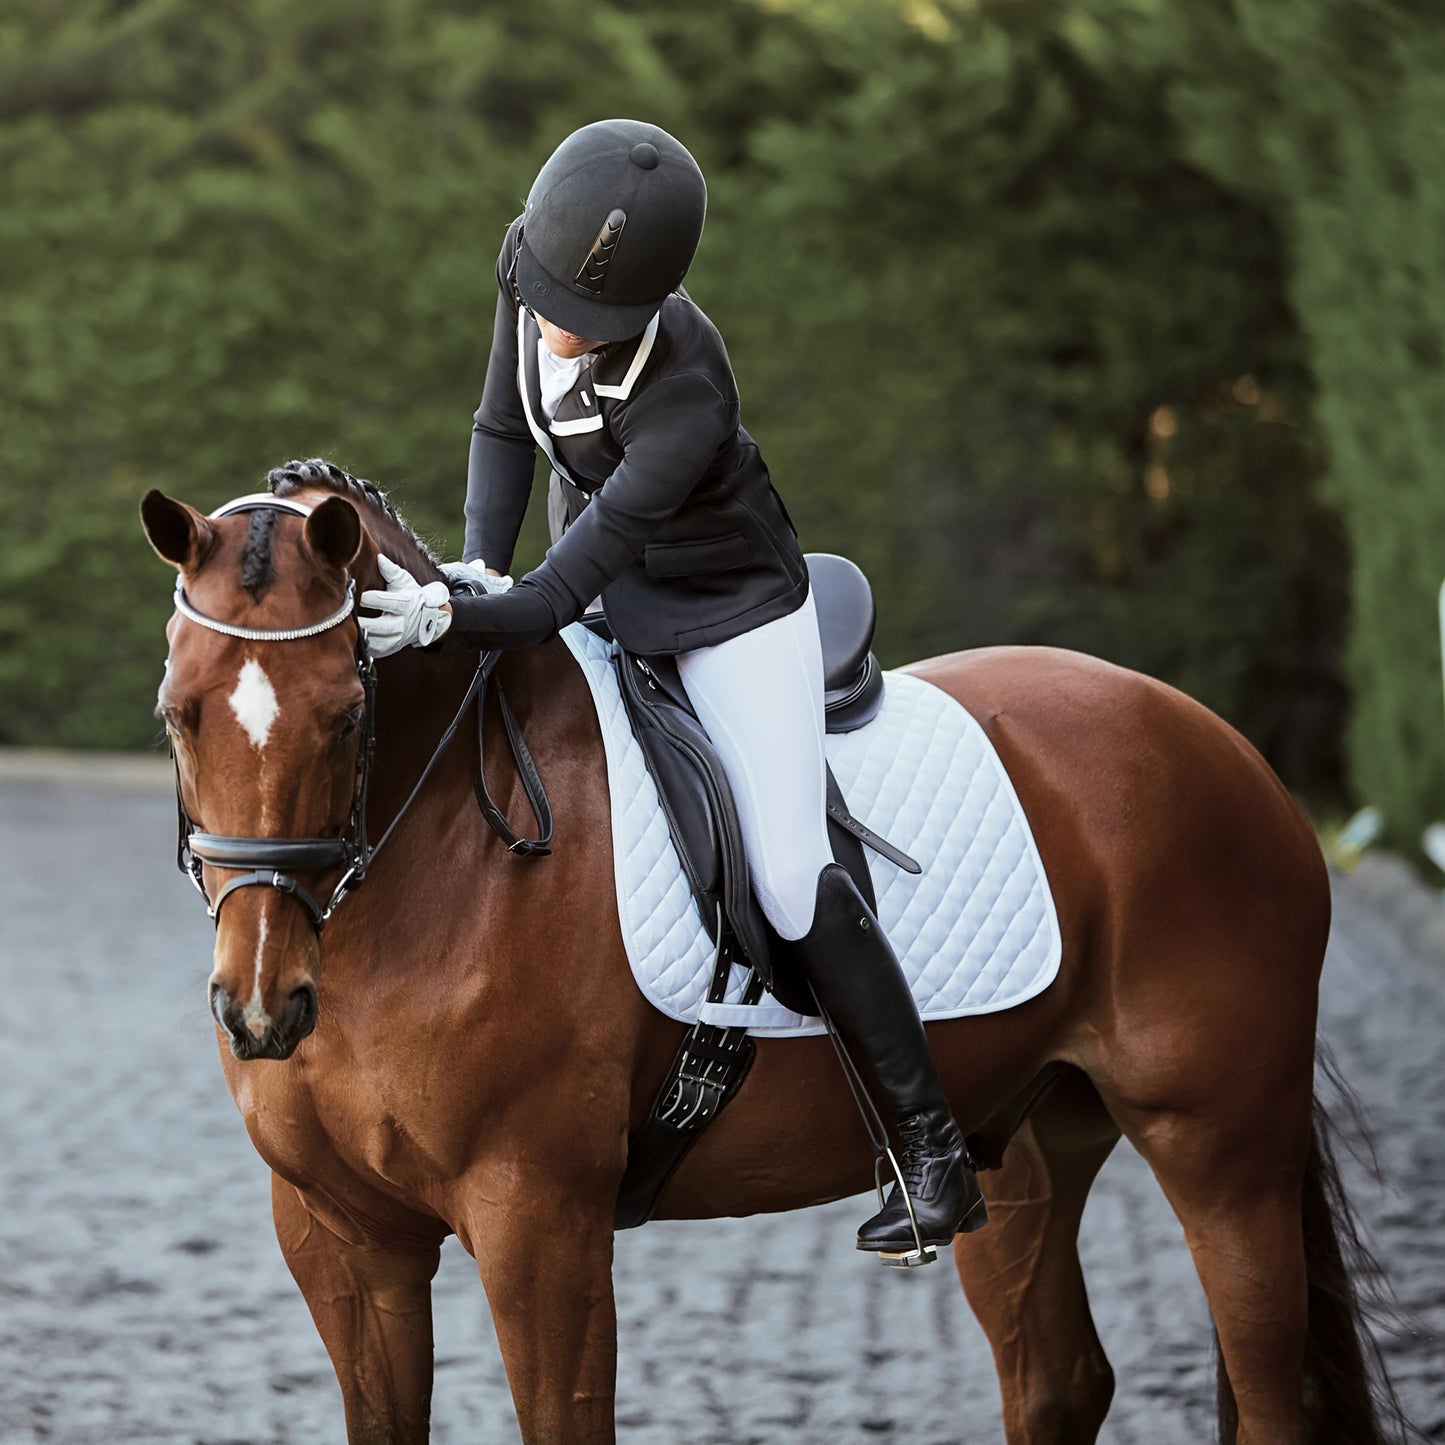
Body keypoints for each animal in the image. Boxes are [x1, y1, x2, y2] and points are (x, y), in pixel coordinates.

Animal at [143, 462, 1398, 1445]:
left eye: (347, 714)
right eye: (176, 713)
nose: (260, 1005)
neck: (429, 871)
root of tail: (1216, 743)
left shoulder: (537, 1220)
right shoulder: (340, 1237)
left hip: (1220, 1148)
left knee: (1266, 1391)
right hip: (1026, 1147)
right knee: (1057, 1379)